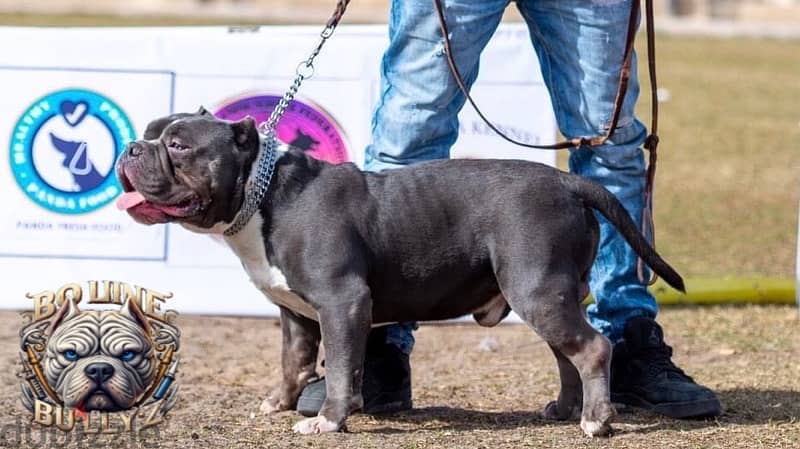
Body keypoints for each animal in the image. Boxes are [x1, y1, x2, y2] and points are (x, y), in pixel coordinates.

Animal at [115, 110, 684, 436]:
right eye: (147, 134)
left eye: (179, 146)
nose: (131, 148)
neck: (264, 191)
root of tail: (568, 184)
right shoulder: (295, 313)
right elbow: (294, 363)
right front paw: (281, 404)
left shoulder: (341, 303)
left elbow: (341, 367)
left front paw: (329, 420)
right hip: (547, 295)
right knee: (567, 352)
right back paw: (567, 410)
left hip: (537, 290)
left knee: (592, 348)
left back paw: (596, 421)